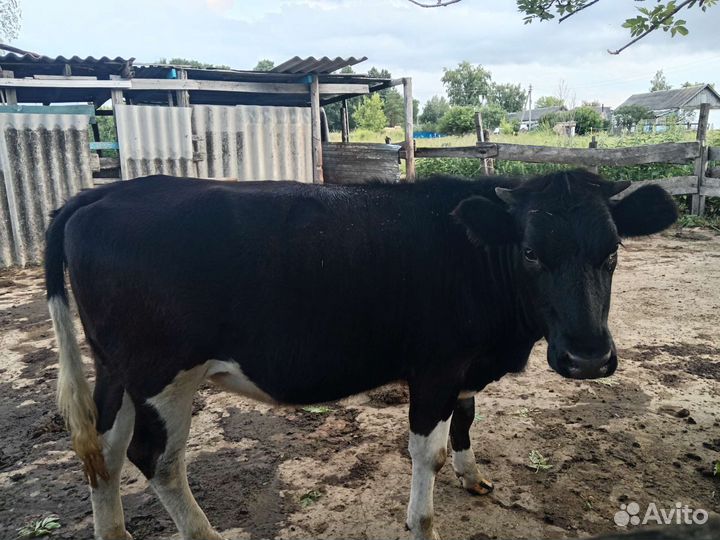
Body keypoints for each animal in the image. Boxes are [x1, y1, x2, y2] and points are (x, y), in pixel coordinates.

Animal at [45, 170, 677, 540]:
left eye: (613, 251)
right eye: (529, 252)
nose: (588, 357)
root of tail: (104, 191)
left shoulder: (466, 365)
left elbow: (465, 421)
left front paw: (473, 477)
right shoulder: (435, 365)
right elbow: (427, 453)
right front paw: (423, 523)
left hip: (115, 368)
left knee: (105, 450)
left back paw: (115, 533)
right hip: (163, 372)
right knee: (157, 460)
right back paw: (202, 533)